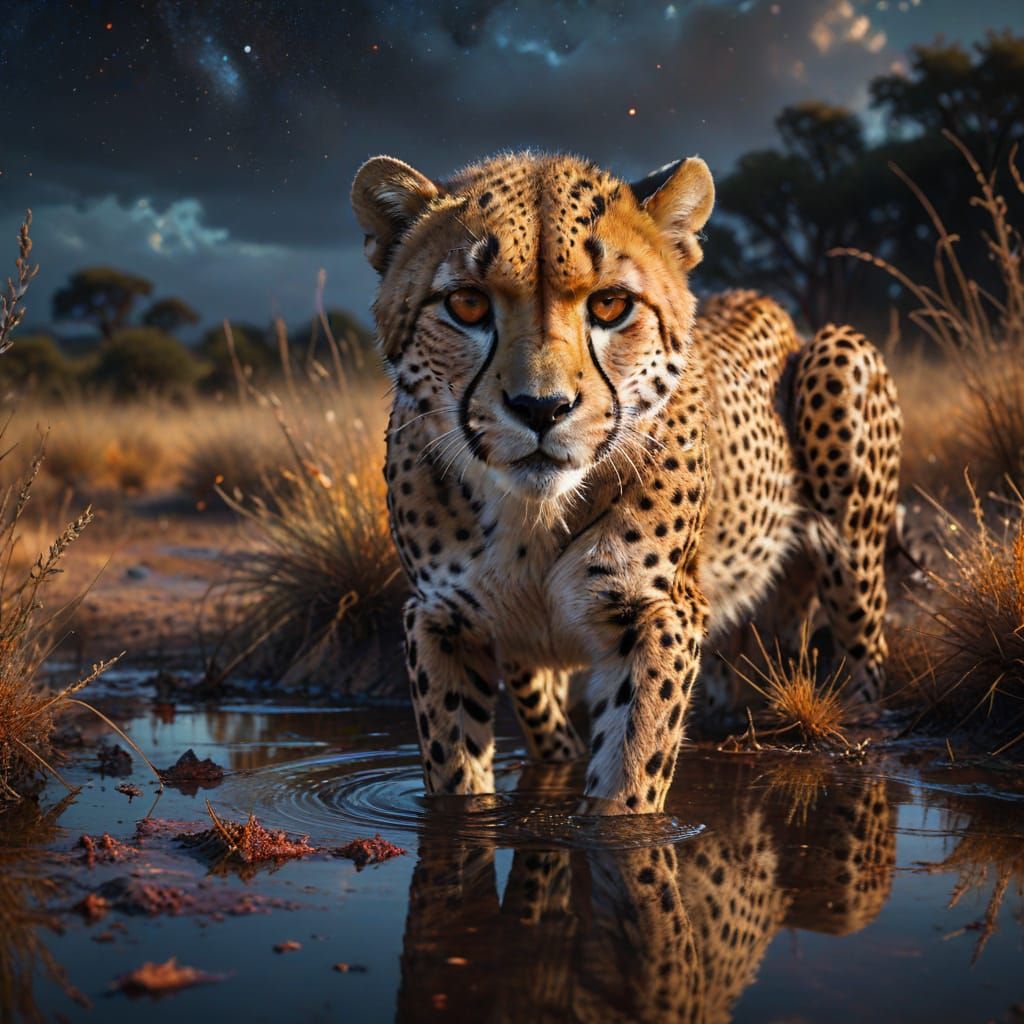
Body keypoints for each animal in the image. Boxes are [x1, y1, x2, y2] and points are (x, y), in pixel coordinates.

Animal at [351, 149, 902, 814]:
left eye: (611, 305)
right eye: (468, 305)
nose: (541, 408)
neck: (533, 520)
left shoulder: (658, 613)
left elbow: (631, 778)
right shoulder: (440, 619)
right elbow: (456, 780)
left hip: (841, 389)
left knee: (866, 656)